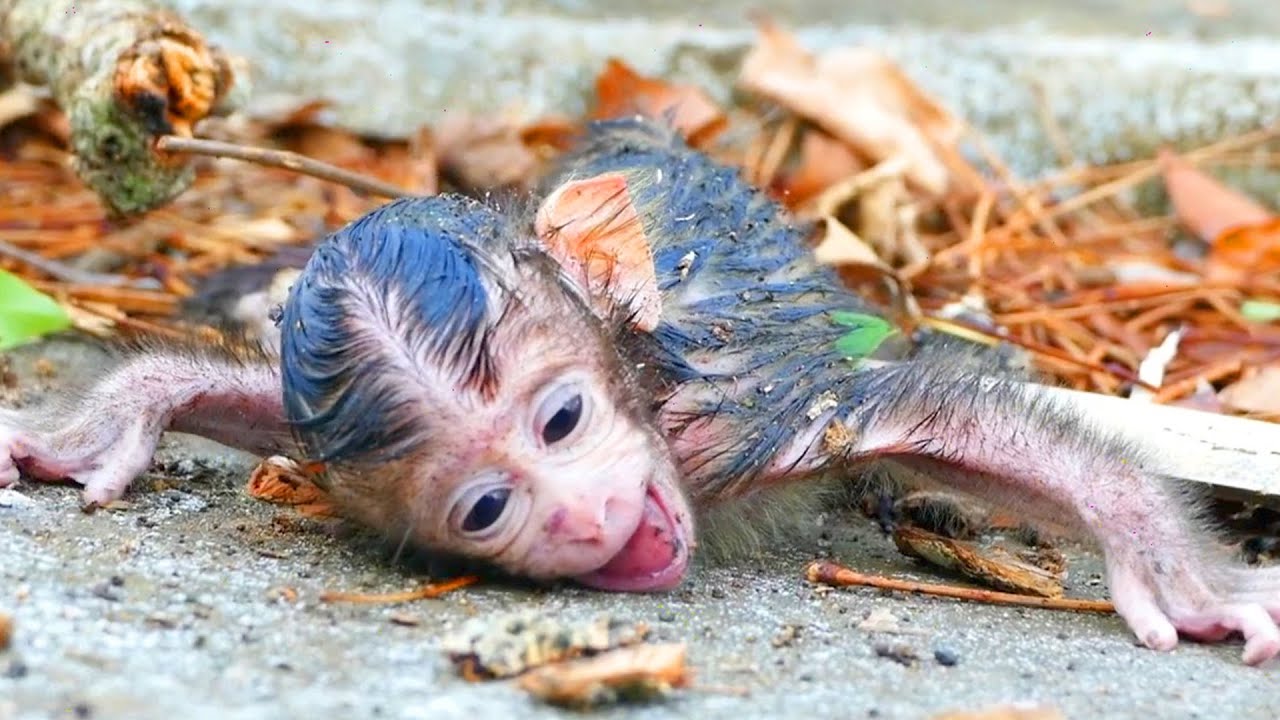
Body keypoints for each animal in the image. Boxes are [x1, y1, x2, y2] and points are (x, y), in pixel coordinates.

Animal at [1, 117, 1277, 665]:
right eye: (485, 509)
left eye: (562, 420)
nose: (579, 515)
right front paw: (113, 416)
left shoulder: (741, 427)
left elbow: (942, 423)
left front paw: (1173, 571)